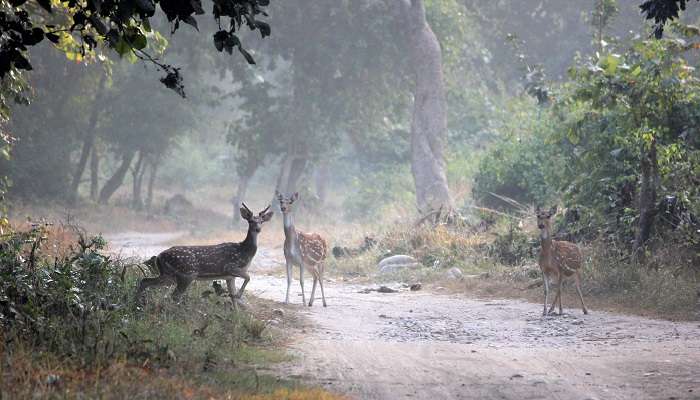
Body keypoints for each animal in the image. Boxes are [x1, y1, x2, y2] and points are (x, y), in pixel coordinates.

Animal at [134, 203, 274, 306]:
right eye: (250, 221)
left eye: (262, 221)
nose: (258, 229)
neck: (244, 252)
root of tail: (159, 256)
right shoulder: (230, 267)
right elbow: (248, 277)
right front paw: (238, 295)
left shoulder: (229, 277)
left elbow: (234, 298)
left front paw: (236, 316)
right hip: (187, 273)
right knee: (174, 296)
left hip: (168, 275)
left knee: (145, 281)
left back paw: (136, 303)